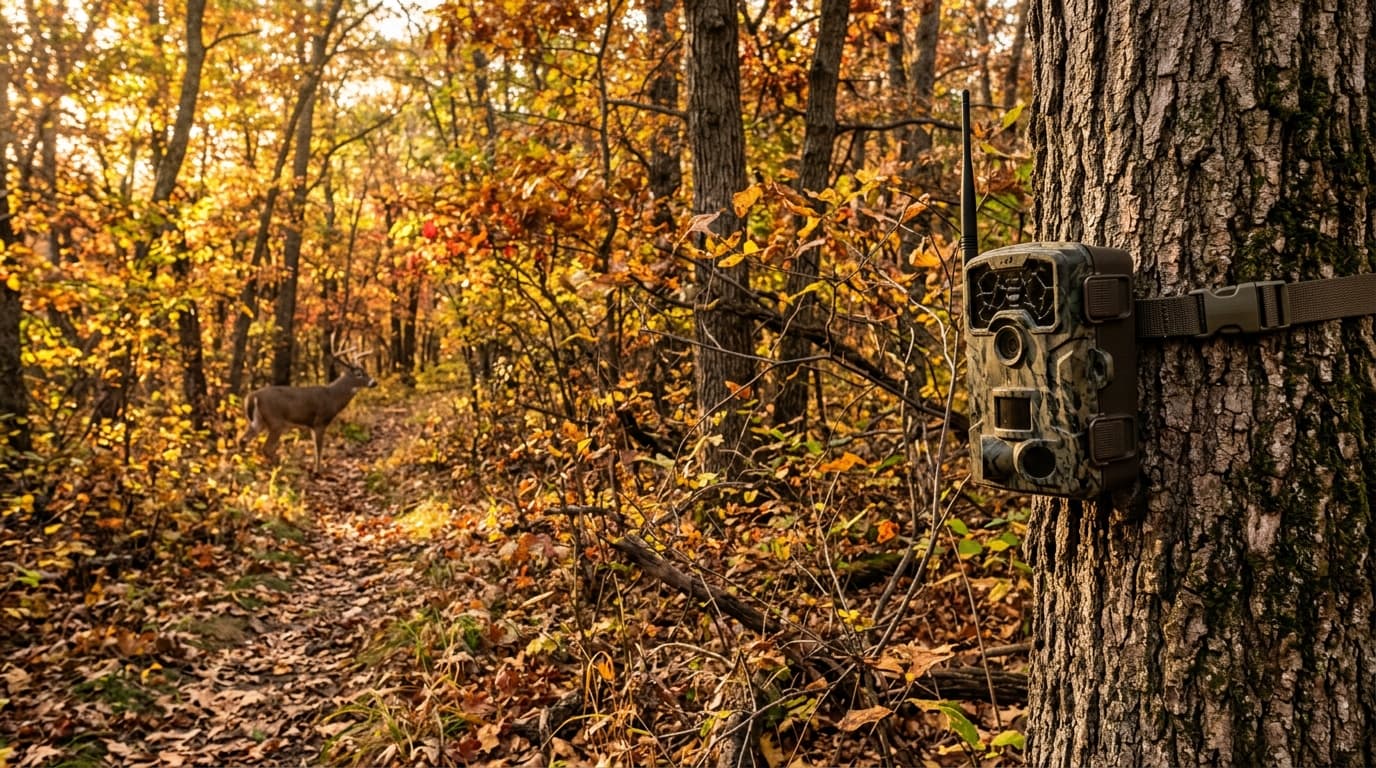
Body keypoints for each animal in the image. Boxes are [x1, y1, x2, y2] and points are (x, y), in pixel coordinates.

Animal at [239, 349, 377, 474]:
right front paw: (318, 471)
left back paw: (245, 465)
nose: (374, 382)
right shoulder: (320, 422)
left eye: (365, 371)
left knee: (243, 440)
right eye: (359, 374)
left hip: (258, 421)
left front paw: (315, 469)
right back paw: (279, 468)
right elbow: (319, 448)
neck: (332, 397)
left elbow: (315, 448)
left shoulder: (311, 425)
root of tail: (252, 396)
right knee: (266, 448)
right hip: (275, 421)